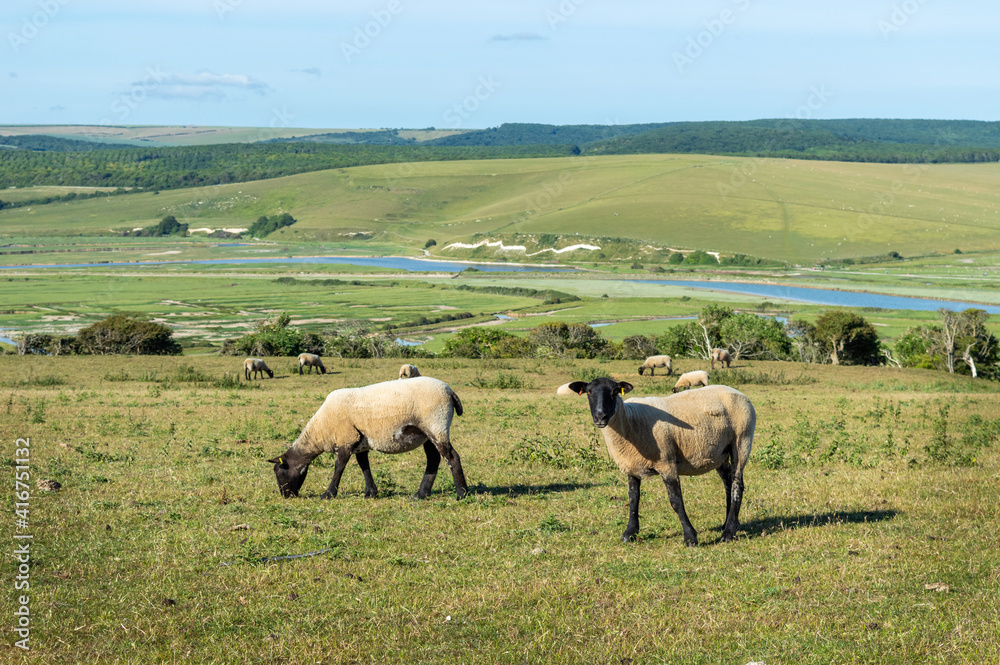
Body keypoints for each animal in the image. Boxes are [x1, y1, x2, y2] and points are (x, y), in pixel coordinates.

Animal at [268, 376, 468, 501]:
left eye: (278, 472)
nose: (286, 495)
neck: (320, 430)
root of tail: (450, 391)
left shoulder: (345, 439)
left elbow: (339, 467)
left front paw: (328, 494)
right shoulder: (359, 442)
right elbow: (364, 466)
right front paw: (371, 492)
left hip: (436, 424)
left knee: (452, 457)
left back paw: (461, 494)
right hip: (427, 433)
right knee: (433, 459)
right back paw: (421, 494)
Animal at [567, 377, 755, 546]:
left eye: (614, 392)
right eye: (588, 392)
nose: (600, 417)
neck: (629, 421)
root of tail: (738, 392)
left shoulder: (666, 463)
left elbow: (676, 501)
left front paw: (690, 538)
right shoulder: (631, 466)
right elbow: (633, 499)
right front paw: (629, 533)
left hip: (742, 440)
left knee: (737, 485)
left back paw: (728, 533)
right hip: (719, 453)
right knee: (728, 483)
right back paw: (728, 524)